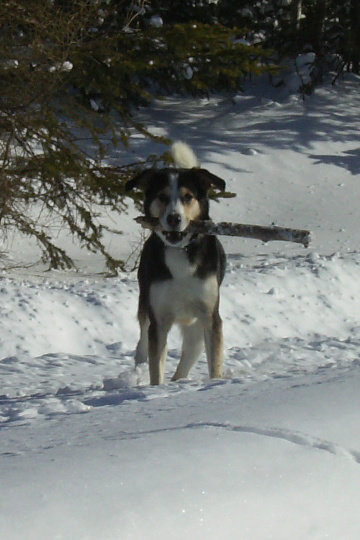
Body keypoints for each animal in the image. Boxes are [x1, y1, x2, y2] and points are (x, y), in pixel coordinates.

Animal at [126, 141, 226, 382]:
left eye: (188, 197)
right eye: (162, 196)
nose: (174, 218)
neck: (180, 250)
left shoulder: (210, 316)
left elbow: (214, 364)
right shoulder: (159, 319)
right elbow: (156, 369)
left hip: (197, 331)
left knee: (187, 359)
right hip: (146, 303)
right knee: (142, 339)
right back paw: (139, 363)